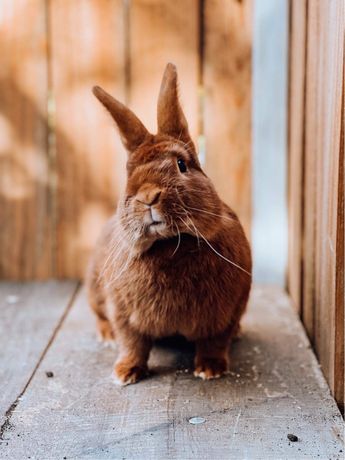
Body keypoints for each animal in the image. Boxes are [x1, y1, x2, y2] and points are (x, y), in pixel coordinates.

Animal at [86, 61, 250, 384]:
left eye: (181, 165)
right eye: (129, 176)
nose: (149, 197)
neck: (171, 244)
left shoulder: (224, 315)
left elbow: (214, 341)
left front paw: (210, 369)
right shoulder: (123, 313)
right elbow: (132, 343)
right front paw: (125, 373)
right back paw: (106, 335)